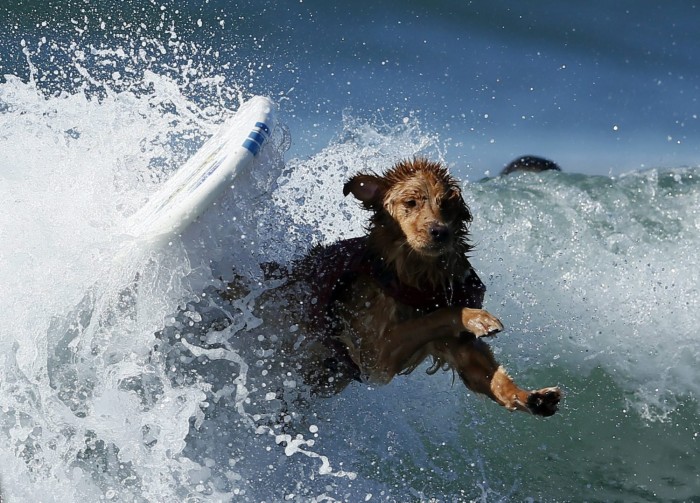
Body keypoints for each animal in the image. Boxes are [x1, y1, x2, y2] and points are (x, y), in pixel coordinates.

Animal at [232, 158, 560, 418]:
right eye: (410, 203)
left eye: (446, 203)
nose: (440, 232)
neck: (412, 275)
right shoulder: (374, 356)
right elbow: (439, 316)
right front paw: (477, 317)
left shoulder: (454, 346)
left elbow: (488, 376)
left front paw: (529, 397)